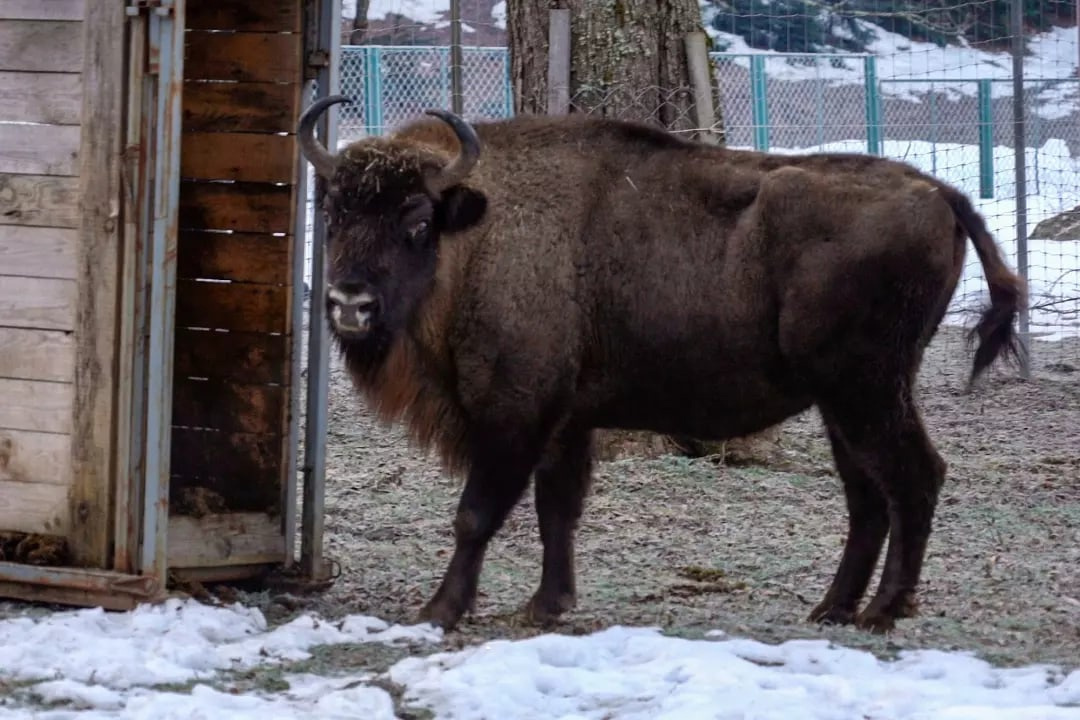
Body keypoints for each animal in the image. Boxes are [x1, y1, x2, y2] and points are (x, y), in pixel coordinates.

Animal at [300, 95, 1023, 634]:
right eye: (333, 212)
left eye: (417, 220)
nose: (349, 302)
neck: (478, 231)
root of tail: (941, 193)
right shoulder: (567, 423)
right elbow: (557, 510)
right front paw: (546, 606)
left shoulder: (515, 415)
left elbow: (476, 514)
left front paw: (440, 611)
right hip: (843, 402)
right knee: (867, 496)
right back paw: (833, 609)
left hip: (867, 390)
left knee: (914, 477)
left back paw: (882, 612)